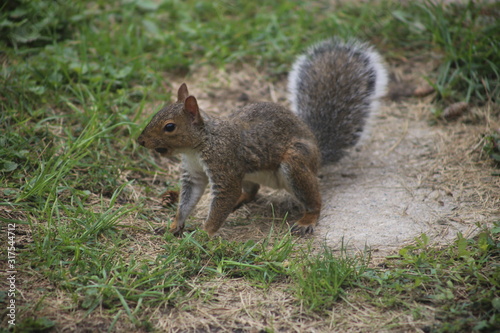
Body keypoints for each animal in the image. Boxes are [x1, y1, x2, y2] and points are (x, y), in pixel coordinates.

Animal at [139, 37, 388, 236]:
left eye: (169, 127)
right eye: (157, 113)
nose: (141, 141)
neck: (200, 145)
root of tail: (318, 152)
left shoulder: (224, 165)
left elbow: (224, 198)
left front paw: (203, 235)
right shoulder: (193, 173)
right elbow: (188, 200)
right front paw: (174, 225)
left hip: (295, 162)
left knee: (314, 200)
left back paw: (307, 219)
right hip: (250, 174)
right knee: (251, 191)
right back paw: (240, 201)